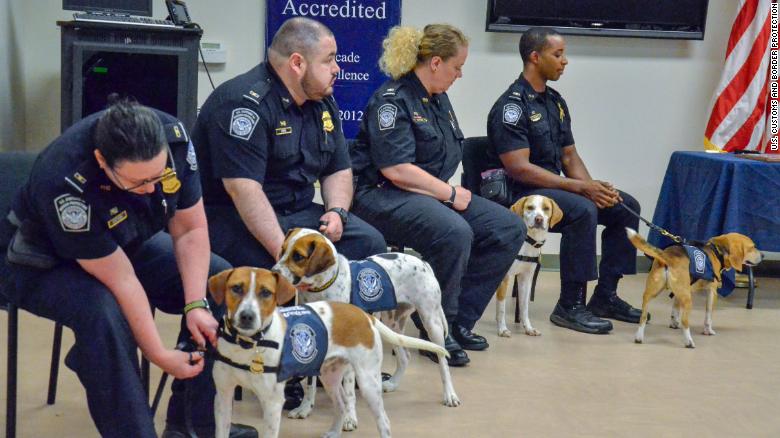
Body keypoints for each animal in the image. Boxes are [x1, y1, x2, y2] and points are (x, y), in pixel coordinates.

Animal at [207, 266, 448, 438]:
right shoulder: (223, 397)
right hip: (330, 376)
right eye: (236, 288)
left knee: (384, 421)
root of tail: (364, 314)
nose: (247, 316)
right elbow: (221, 431)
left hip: (368, 382)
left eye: (266, 293)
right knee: (341, 405)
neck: (247, 344)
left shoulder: (272, 403)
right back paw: (333, 432)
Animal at [272, 229, 460, 428]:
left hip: (431, 321)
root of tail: (423, 262)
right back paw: (392, 383)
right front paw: (305, 408)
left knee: (442, 360)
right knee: (405, 356)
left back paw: (449, 394)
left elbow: (348, 390)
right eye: (282, 250)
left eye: (298, 256)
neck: (321, 289)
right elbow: (310, 384)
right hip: (392, 323)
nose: (273, 272)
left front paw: (349, 417)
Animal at [494, 194, 560, 336]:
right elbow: (501, 308)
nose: (539, 219)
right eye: (530, 207)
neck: (528, 243)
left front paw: (528, 328)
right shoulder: (504, 278)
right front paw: (502, 329)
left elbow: (524, 307)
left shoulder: (525, 278)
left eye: (546, 208)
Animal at [628, 229, 760, 350]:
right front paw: (708, 330)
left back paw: (639, 337)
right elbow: (708, 316)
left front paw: (673, 323)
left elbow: (675, 308)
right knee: (685, 321)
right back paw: (689, 342)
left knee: (643, 317)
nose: (762, 255)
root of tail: (667, 256)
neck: (717, 252)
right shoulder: (712, 292)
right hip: (687, 299)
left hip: (651, 293)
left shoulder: (679, 292)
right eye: (752, 247)